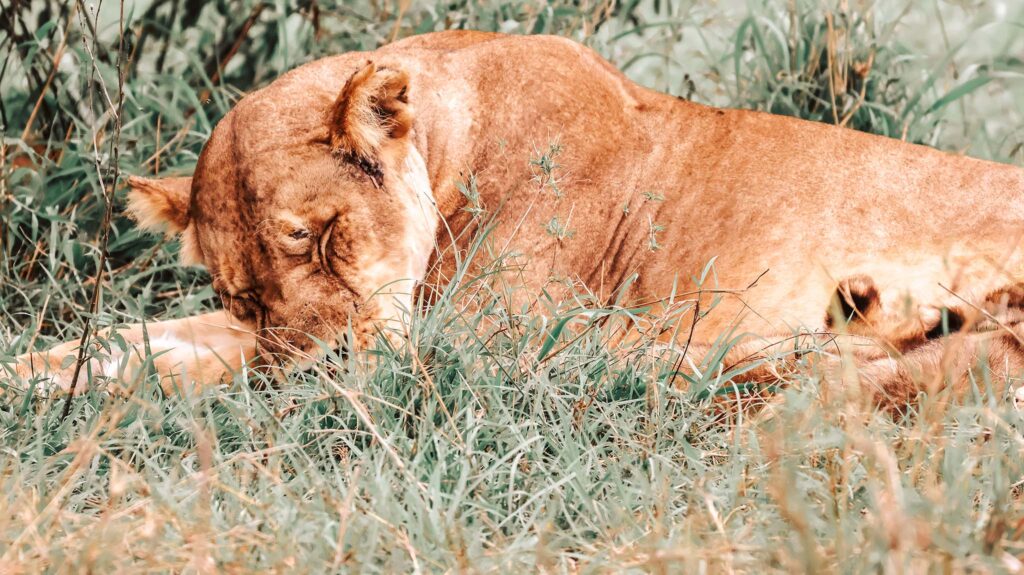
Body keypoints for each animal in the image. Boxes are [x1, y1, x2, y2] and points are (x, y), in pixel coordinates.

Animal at [8, 31, 1024, 405]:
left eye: (328, 235)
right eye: (247, 295)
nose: (322, 372)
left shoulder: (479, 334)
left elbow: (203, 365)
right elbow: (162, 339)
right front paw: (42, 370)